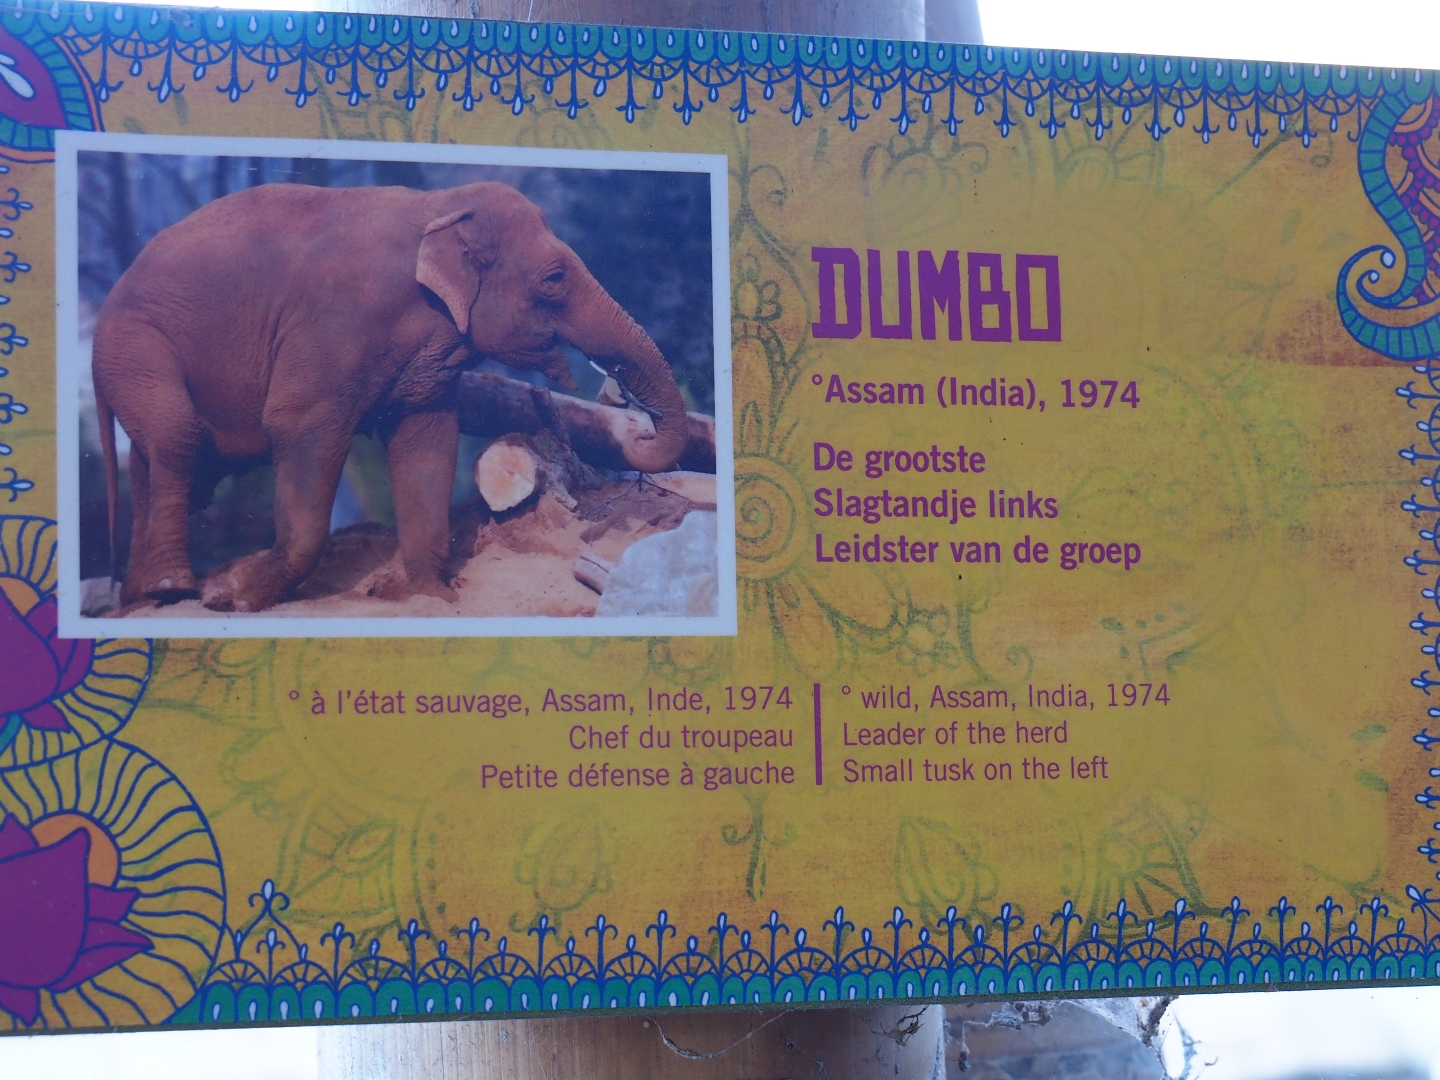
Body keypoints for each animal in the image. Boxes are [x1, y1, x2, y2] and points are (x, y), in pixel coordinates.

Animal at [93, 179, 689, 612]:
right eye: (555, 278)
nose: (631, 415)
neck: (439, 205)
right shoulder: (333, 326)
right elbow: (300, 425)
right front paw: (232, 595)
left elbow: (426, 443)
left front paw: (429, 596)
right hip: (136, 345)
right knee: (177, 438)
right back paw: (173, 589)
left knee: (158, 464)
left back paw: (141, 598)